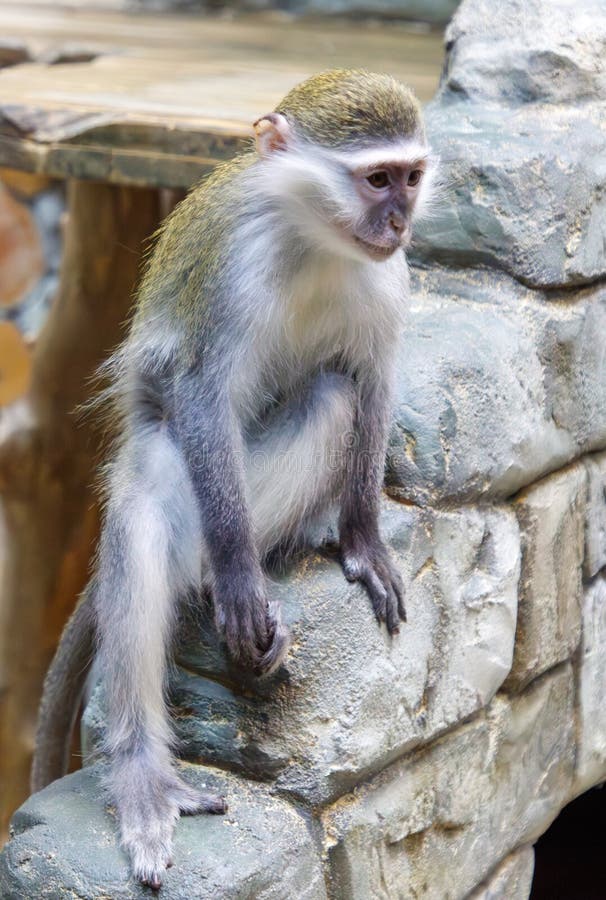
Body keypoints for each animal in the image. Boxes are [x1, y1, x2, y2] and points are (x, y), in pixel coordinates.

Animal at [31, 69, 435, 889]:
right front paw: (242, 581)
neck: (313, 241)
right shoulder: (230, 274)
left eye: (411, 177)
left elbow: (373, 385)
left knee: (331, 396)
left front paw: (365, 542)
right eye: (376, 179)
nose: (398, 221)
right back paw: (146, 764)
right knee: (149, 503)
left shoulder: (388, 282)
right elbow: (201, 393)